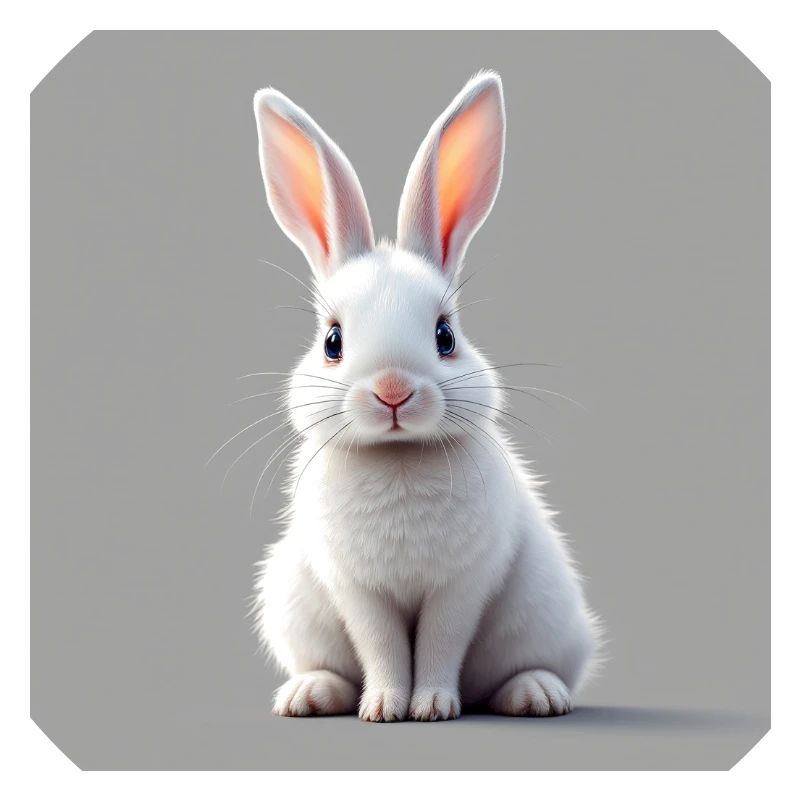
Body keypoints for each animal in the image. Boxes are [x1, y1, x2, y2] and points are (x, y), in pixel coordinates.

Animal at [249, 71, 600, 722]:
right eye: (332, 341)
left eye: (445, 336)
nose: (393, 390)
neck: (399, 458)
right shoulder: (356, 590)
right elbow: (382, 645)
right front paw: (386, 707)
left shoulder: (462, 585)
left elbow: (440, 642)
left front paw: (432, 705)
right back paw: (310, 694)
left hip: (546, 614)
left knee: (518, 669)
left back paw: (536, 694)